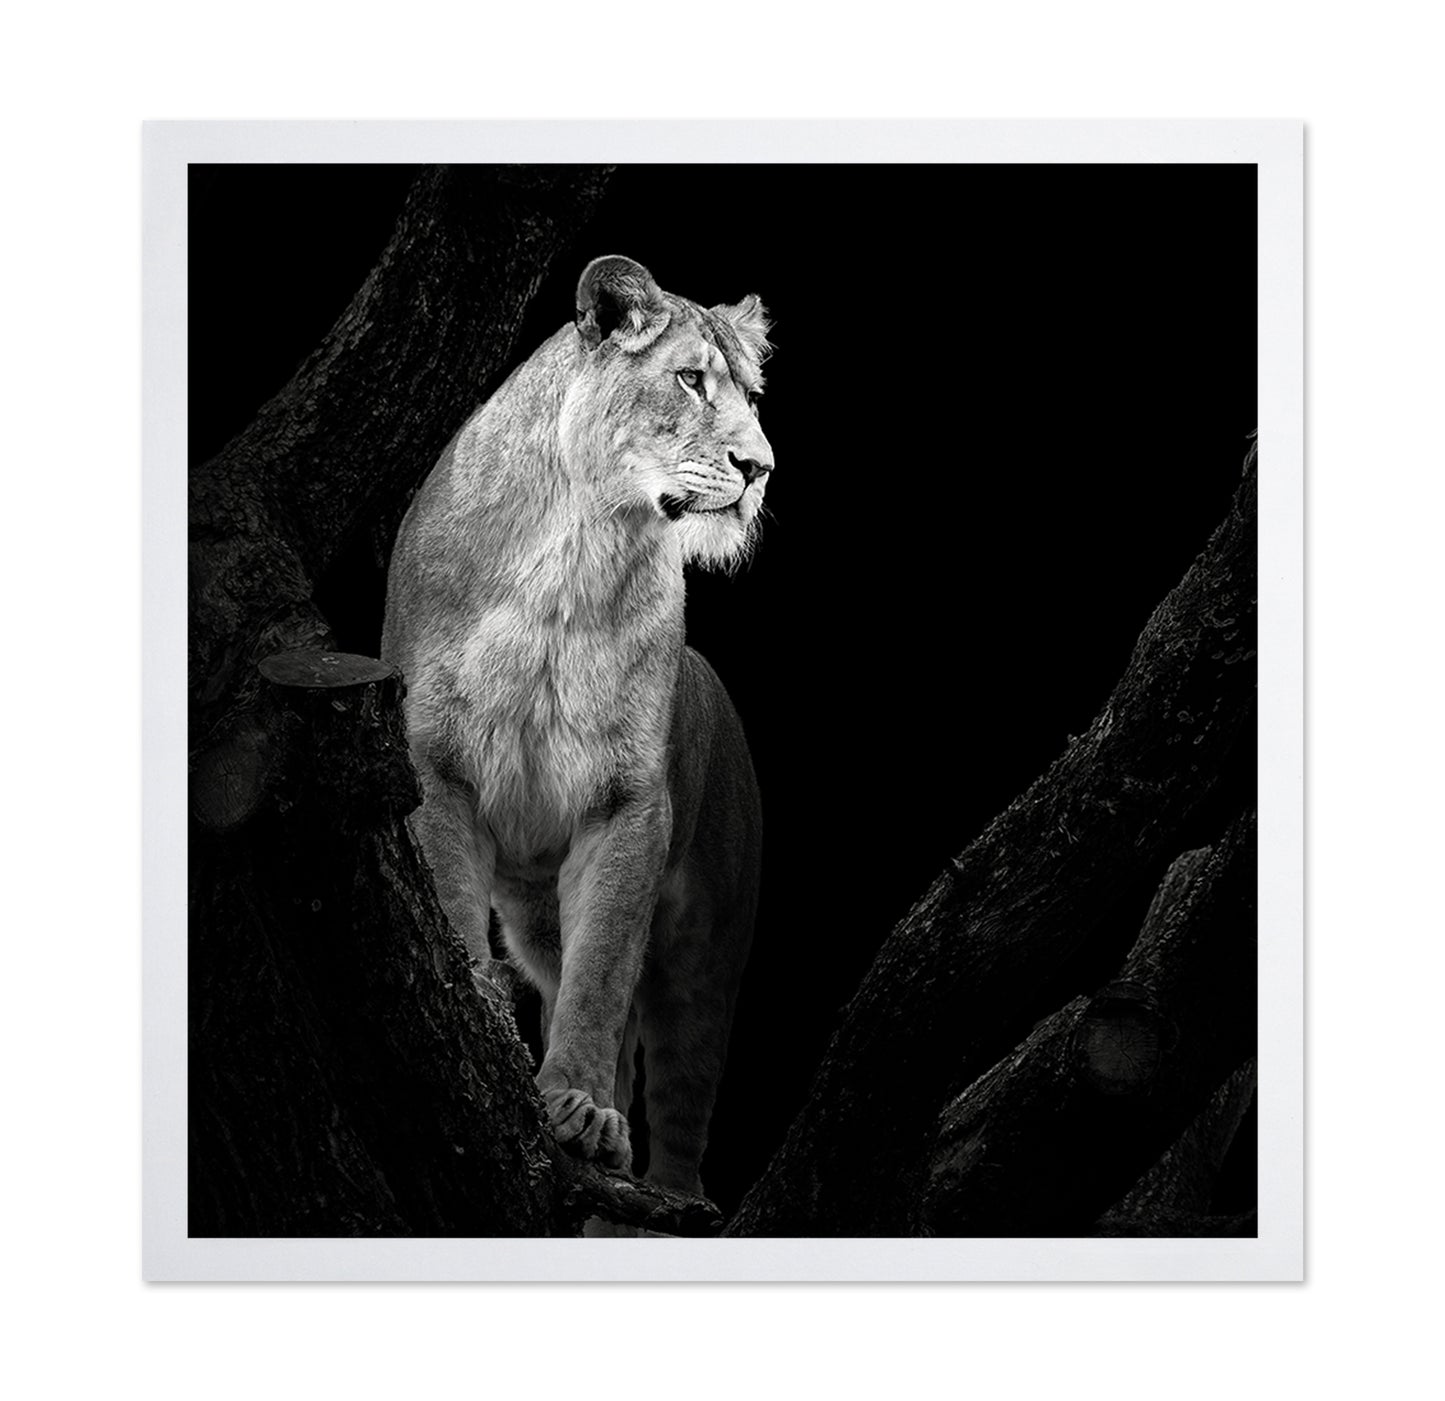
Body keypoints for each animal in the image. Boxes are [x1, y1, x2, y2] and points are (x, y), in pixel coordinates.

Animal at [381, 255, 772, 1199]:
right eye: (689, 379)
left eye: (751, 393)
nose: (761, 467)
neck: (578, 548)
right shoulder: (434, 764)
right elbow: (454, 909)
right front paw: (483, 1019)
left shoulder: (627, 805)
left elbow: (601, 977)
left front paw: (584, 1111)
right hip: (535, 916)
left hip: (712, 946)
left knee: (680, 1095)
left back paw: (664, 1193)